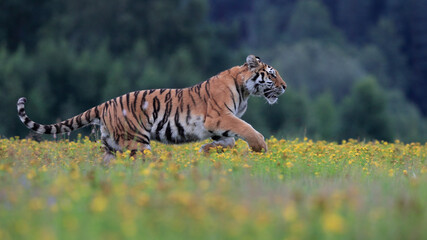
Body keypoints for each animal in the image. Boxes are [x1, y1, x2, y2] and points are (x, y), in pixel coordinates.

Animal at [16, 55, 288, 162]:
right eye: (272, 74)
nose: (285, 87)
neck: (245, 90)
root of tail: (105, 103)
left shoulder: (218, 126)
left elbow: (228, 142)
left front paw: (206, 151)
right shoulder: (220, 117)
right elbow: (247, 128)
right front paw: (261, 148)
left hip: (110, 145)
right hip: (137, 141)